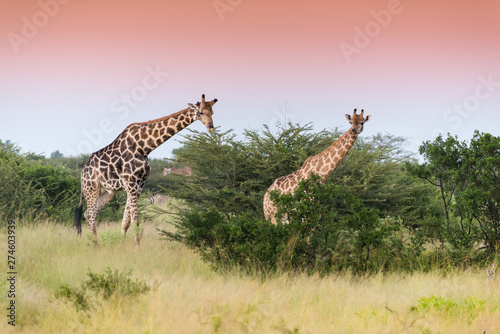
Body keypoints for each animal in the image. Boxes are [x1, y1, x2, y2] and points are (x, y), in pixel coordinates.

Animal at [73, 92, 217, 244]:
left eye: (212, 112)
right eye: (201, 112)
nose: (211, 126)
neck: (144, 147)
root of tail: (82, 172)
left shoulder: (139, 185)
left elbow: (126, 223)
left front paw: (123, 246)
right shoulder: (131, 183)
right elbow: (135, 221)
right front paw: (137, 247)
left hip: (107, 191)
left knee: (90, 213)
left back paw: (96, 242)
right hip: (91, 189)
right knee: (91, 215)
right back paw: (96, 244)